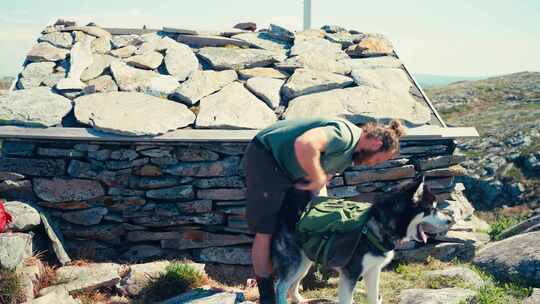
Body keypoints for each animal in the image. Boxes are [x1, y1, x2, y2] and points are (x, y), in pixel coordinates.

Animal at [272, 179, 454, 302]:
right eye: (431, 209)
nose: (450, 221)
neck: (379, 224)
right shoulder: (350, 275)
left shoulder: (373, 271)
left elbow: (373, 297)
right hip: (295, 263)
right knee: (280, 286)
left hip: (304, 263)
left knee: (292, 284)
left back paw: (299, 299)